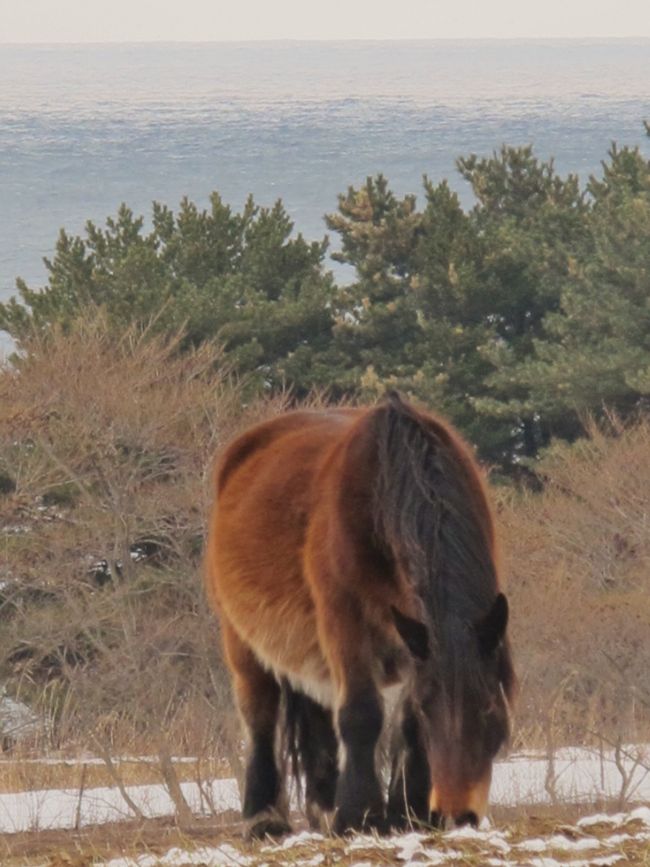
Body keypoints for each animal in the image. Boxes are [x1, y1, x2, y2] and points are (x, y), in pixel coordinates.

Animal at [205, 396, 512, 840]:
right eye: (431, 710)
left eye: (489, 709)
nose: (457, 814)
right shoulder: (345, 620)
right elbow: (361, 714)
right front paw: (359, 816)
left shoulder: (413, 639)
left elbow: (404, 726)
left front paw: (406, 814)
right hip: (244, 643)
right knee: (260, 717)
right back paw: (265, 818)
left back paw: (324, 807)